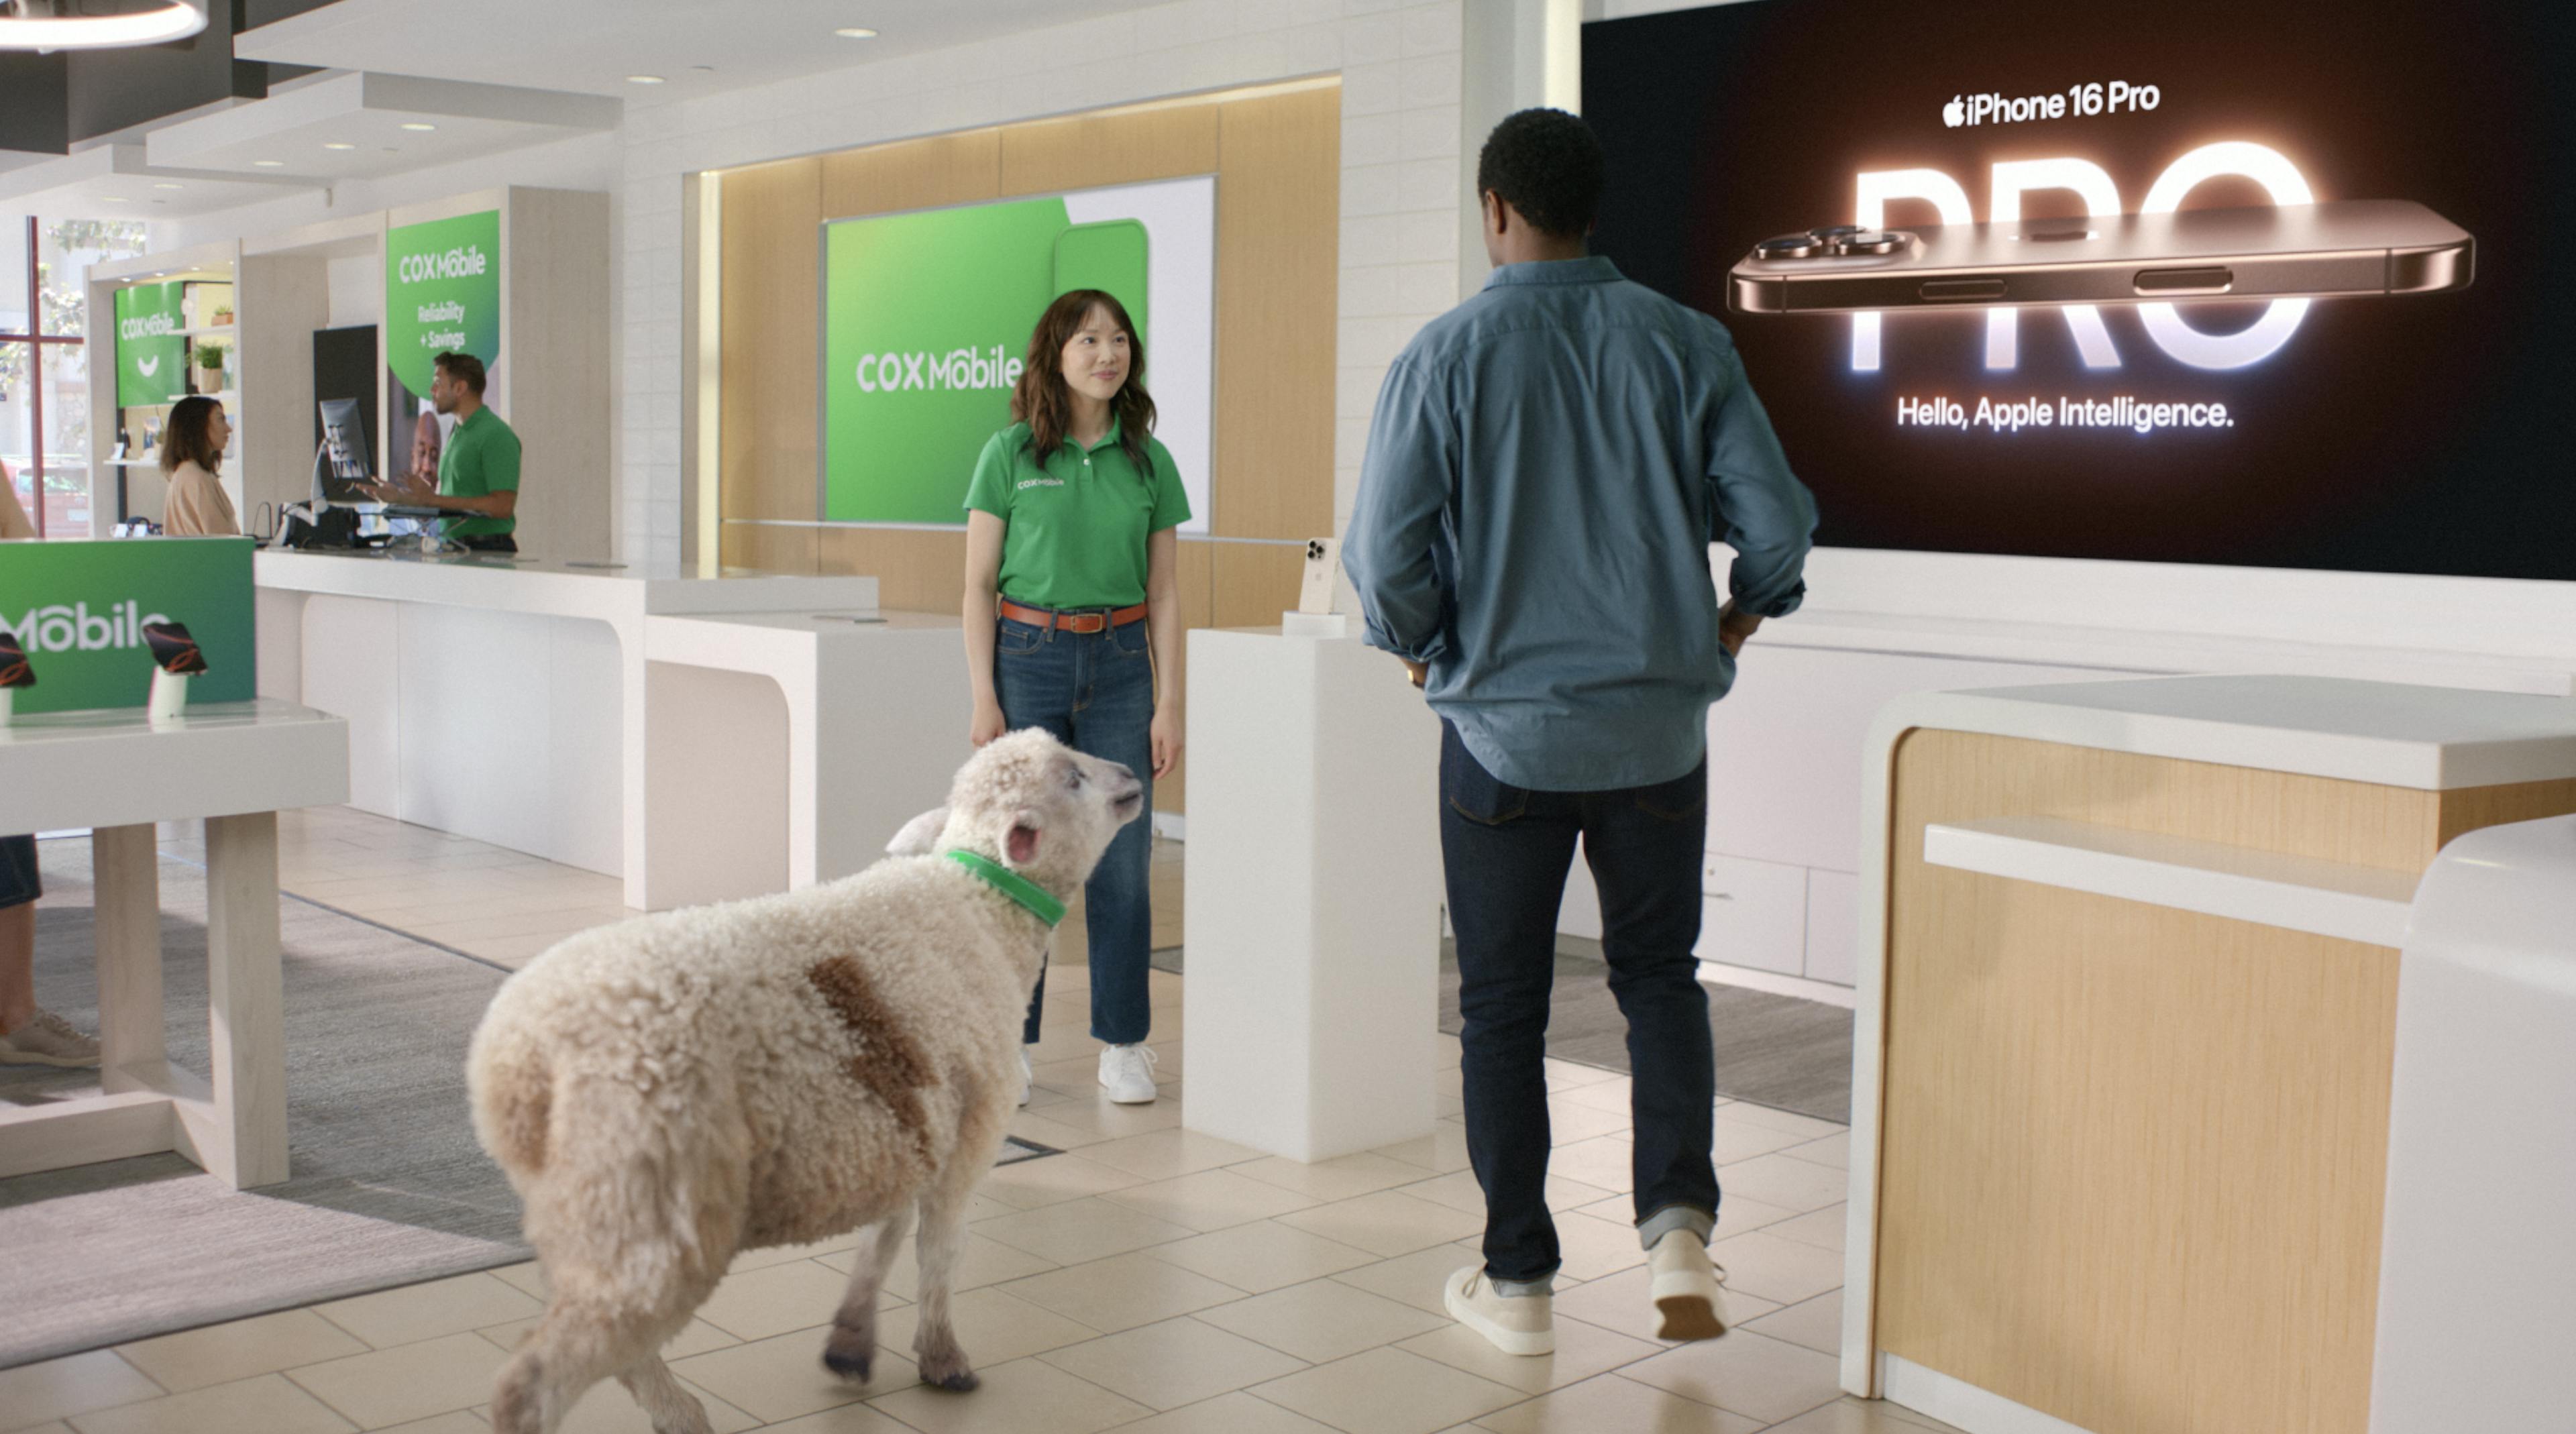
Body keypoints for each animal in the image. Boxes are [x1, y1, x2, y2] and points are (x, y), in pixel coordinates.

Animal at [466, 726, 1148, 1431]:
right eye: (1072, 778)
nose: (1133, 773)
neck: (979, 907)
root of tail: (517, 1055)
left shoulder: (908, 1122)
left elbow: (884, 1237)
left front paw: (851, 1341)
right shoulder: (969, 1132)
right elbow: (938, 1252)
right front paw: (942, 1357)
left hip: (587, 1201)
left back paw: (677, 1411)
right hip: (649, 1191)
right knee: (543, 1374)